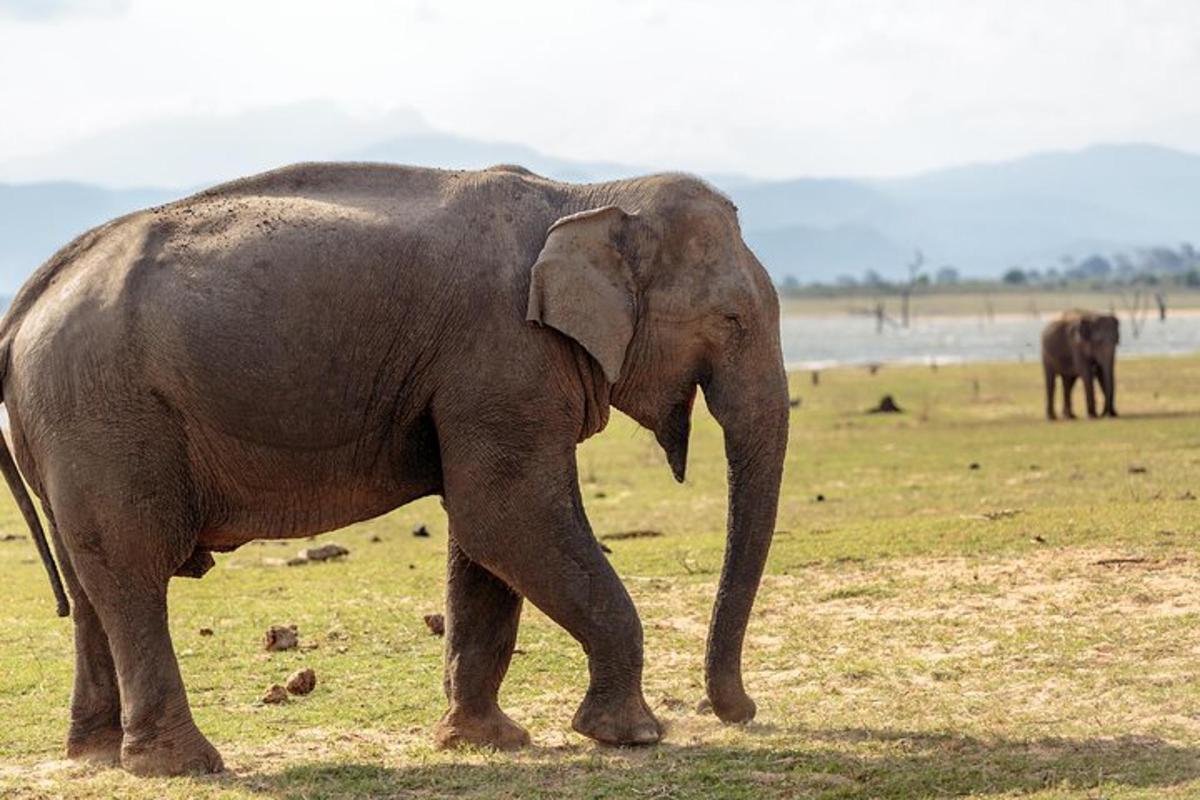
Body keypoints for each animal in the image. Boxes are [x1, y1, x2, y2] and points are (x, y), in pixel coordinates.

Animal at [0, 164, 792, 777]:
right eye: (731, 319)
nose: (740, 711)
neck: (587, 194)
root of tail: (28, 301)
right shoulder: (504, 352)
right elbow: (505, 514)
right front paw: (633, 736)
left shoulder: (488, 378)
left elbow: (485, 538)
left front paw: (486, 742)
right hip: (103, 412)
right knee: (132, 569)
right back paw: (183, 766)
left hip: (69, 425)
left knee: (90, 580)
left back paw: (95, 757)